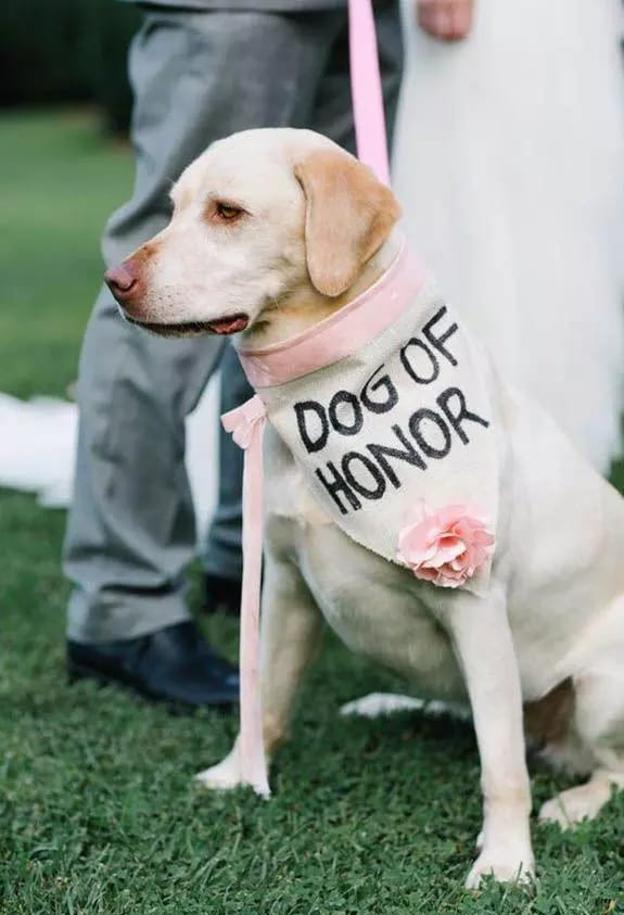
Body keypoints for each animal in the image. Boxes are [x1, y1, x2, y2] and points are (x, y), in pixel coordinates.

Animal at [105, 129, 624, 888]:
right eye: (171, 210)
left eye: (228, 212)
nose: (115, 280)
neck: (326, 382)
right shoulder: (287, 584)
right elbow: (265, 698)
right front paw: (239, 774)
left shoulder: (477, 609)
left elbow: (501, 768)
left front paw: (504, 860)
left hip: (603, 685)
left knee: (602, 768)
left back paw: (573, 802)